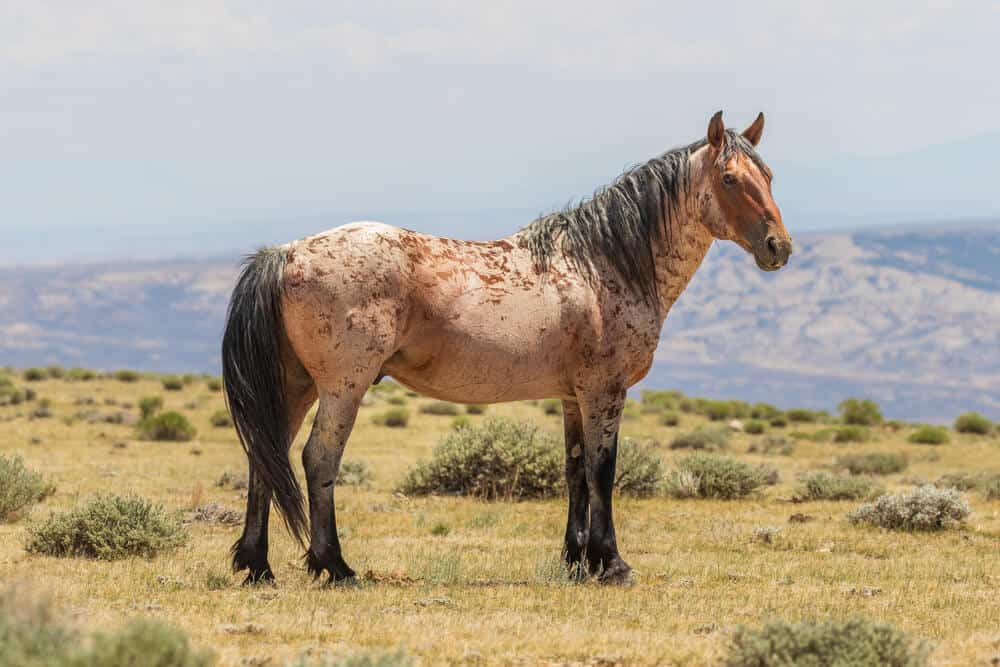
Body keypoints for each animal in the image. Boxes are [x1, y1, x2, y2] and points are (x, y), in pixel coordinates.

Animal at [222, 110, 792, 586]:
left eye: (768, 175)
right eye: (730, 178)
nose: (779, 248)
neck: (602, 264)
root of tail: (286, 254)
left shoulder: (572, 397)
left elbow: (575, 472)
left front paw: (577, 562)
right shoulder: (603, 391)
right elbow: (603, 471)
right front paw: (611, 563)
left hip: (294, 386)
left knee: (265, 456)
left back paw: (258, 567)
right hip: (344, 386)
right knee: (318, 459)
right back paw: (335, 566)